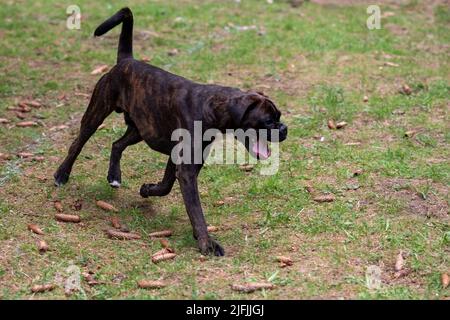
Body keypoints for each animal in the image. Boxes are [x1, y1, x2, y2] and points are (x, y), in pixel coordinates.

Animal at [54, 7, 286, 256]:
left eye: (279, 117)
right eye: (269, 121)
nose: (285, 129)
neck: (211, 106)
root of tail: (126, 60)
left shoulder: (183, 159)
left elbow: (166, 186)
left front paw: (147, 189)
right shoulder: (186, 169)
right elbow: (195, 208)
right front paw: (206, 243)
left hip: (141, 129)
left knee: (117, 144)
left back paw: (114, 176)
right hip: (97, 113)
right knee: (77, 144)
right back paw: (62, 175)